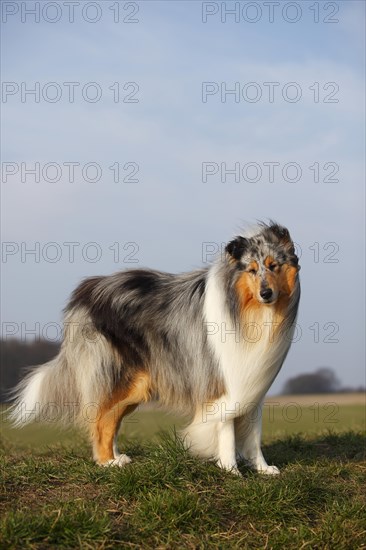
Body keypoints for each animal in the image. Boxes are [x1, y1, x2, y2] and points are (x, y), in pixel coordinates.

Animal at [10, 222, 300, 476]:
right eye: (251, 270)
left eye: (273, 266)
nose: (266, 294)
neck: (247, 310)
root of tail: (85, 292)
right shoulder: (222, 384)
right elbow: (227, 430)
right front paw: (232, 471)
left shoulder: (252, 386)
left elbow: (254, 435)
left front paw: (263, 469)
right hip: (117, 376)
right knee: (100, 419)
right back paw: (107, 464)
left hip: (136, 385)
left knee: (109, 419)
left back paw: (117, 457)